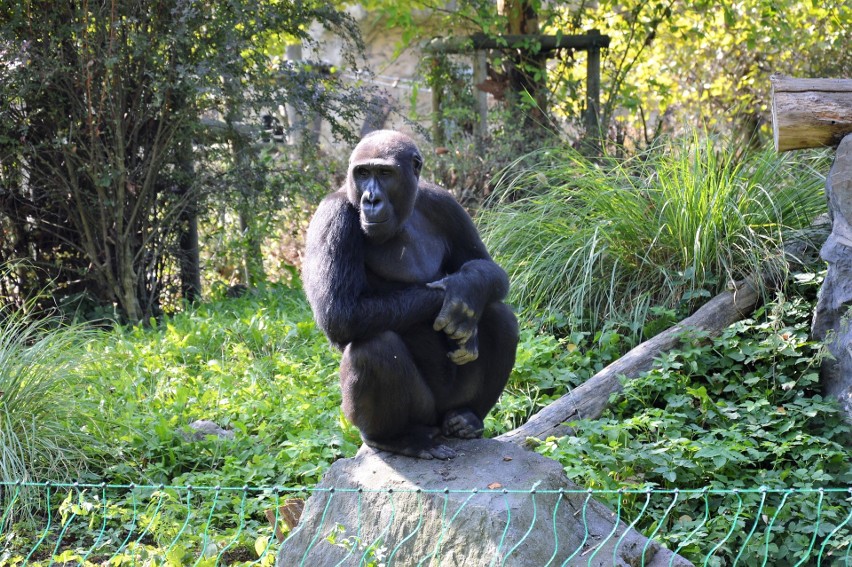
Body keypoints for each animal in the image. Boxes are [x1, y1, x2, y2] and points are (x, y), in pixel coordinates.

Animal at [304, 131, 520, 460]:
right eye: (362, 173)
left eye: (384, 174)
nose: (371, 199)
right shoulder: (332, 216)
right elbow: (340, 314)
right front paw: (456, 298)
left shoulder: (444, 202)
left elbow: (487, 267)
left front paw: (468, 288)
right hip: (422, 414)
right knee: (374, 346)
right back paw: (396, 439)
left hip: (450, 406)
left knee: (499, 314)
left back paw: (467, 418)